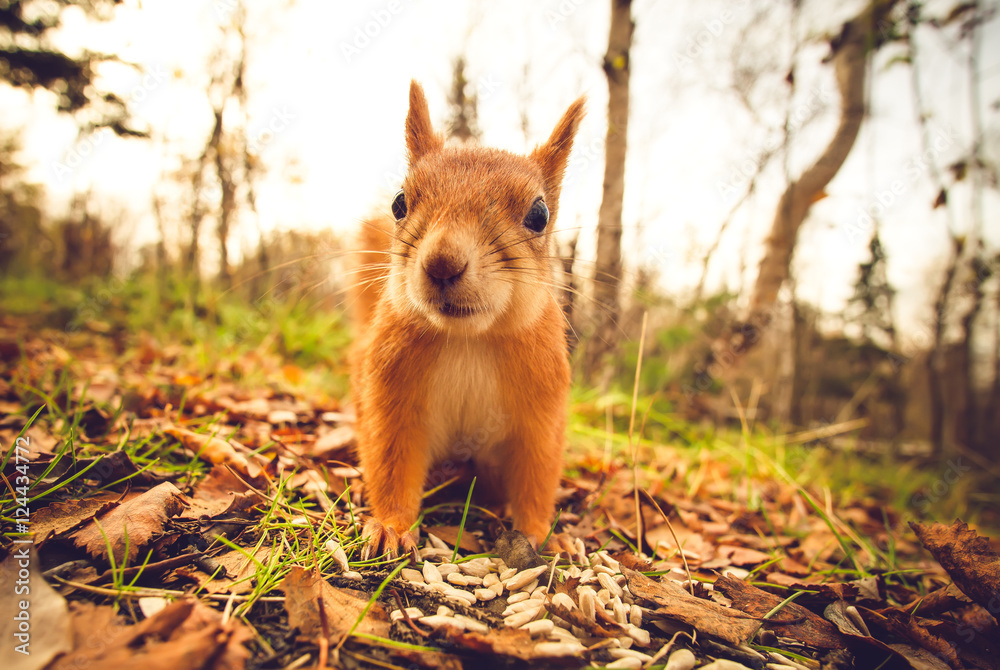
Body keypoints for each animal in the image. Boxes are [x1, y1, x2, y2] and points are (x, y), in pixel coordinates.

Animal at [352, 80, 584, 560]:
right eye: (399, 203)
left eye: (539, 215)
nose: (442, 262)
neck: (467, 339)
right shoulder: (390, 395)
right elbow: (390, 462)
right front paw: (390, 527)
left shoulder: (541, 411)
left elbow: (537, 476)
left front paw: (542, 535)